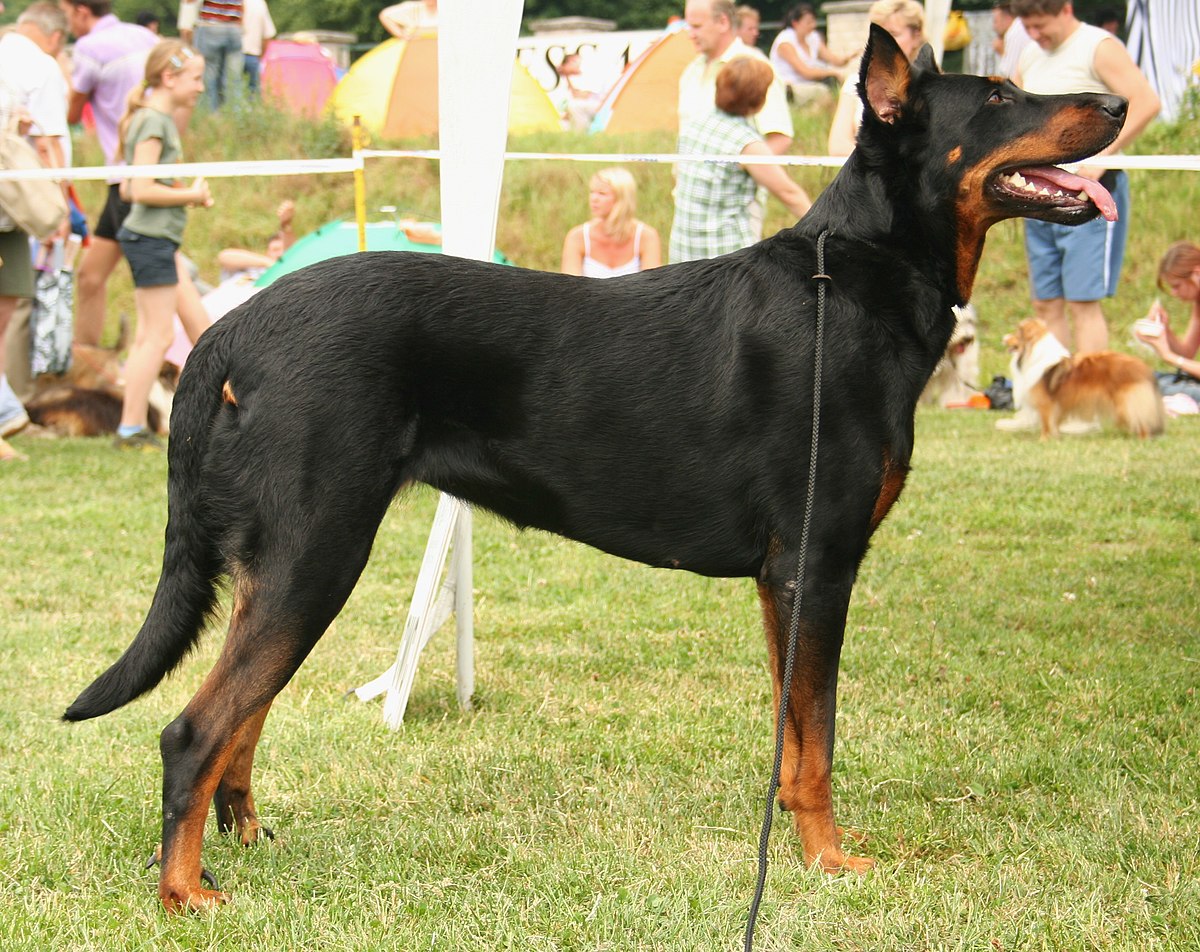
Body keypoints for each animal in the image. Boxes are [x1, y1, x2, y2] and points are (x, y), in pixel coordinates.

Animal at [65, 25, 1128, 907]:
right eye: (1000, 96)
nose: (1118, 105)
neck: (860, 278)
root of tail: (232, 330)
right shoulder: (817, 563)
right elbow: (820, 738)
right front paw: (830, 863)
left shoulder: (783, 579)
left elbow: (792, 741)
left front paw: (797, 848)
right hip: (316, 552)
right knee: (194, 730)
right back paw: (185, 894)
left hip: (292, 562)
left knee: (239, 719)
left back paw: (239, 843)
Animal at [1003, 319, 1161, 439]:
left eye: (1016, 333)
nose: (1003, 338)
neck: (1033, 352)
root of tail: (1142, 367)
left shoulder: (1046, 403)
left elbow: (1046, 423)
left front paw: (1044, 439)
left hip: (1125, 403)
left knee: (1140, 419)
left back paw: (1143, 438)